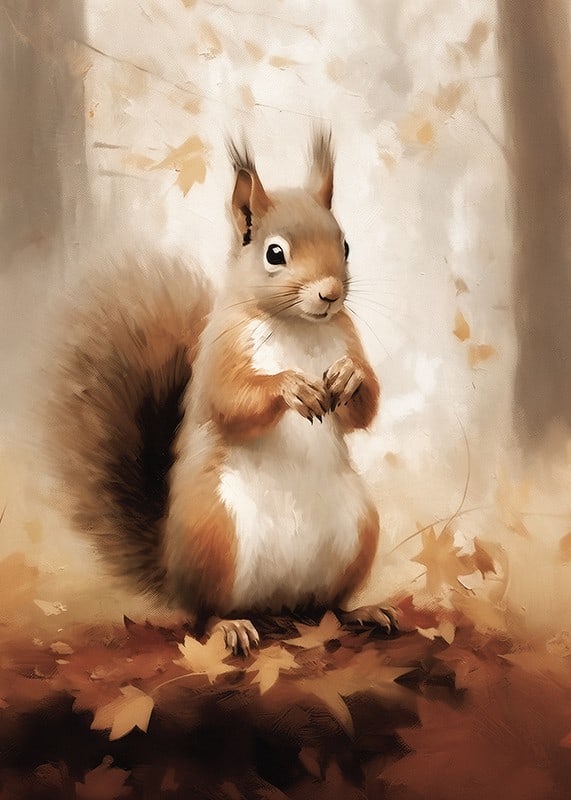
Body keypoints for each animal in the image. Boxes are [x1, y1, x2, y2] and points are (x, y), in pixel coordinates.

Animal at [45, 132, 398, 654]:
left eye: (347, 245)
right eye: (275, 254)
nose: (331, 293)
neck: (298, 326)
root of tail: (276, 603)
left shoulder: (346, 337)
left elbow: (365, 409)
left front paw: (348, 378)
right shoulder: (220, 354)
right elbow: (234, 402)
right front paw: (291, 386)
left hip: (358, 530)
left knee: (326, 605)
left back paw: (360, 612)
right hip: (215, 533)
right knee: (203, 613)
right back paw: (229, 626)